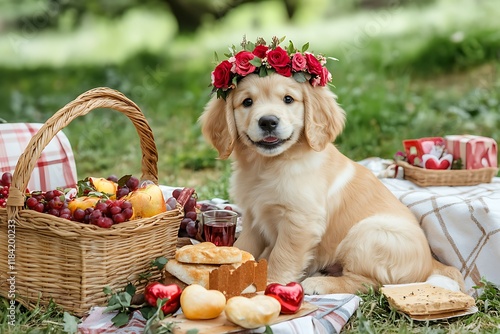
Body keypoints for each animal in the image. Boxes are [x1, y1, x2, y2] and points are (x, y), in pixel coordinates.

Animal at [199, 73, 464, 294]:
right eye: (247, 102)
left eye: (288, 99)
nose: (268, 121)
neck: (269, 165)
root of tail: (432, 262)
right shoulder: (254, 216)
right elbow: (244, 246)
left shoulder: (301, 221)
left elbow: (282, 256)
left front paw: (270, 285)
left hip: (369, 234)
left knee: (368, 283)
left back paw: (319, 283)